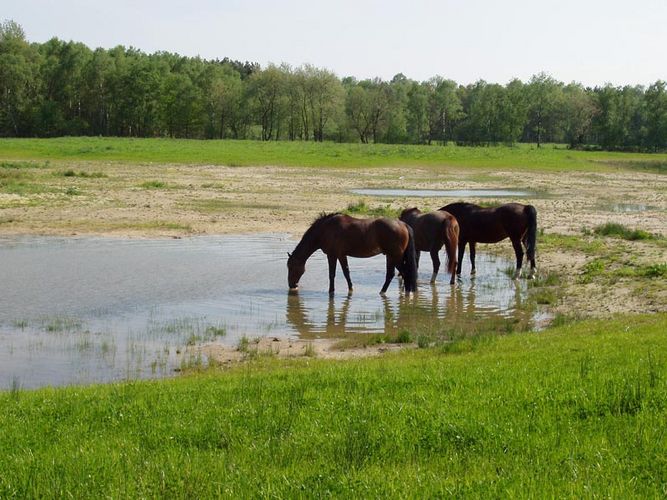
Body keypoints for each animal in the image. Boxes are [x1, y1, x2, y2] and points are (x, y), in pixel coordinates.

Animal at [288, 212, 418, 296]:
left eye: (291, 267)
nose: (291, 285)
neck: (325, 229)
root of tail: (403, 225)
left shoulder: (332, 255)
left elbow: (332, 274)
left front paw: (331, 291)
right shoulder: (341, 255)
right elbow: (346, 273)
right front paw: (350, 289)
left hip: (395, 256)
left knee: (404, 273)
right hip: (391, 257)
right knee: (393, 274)